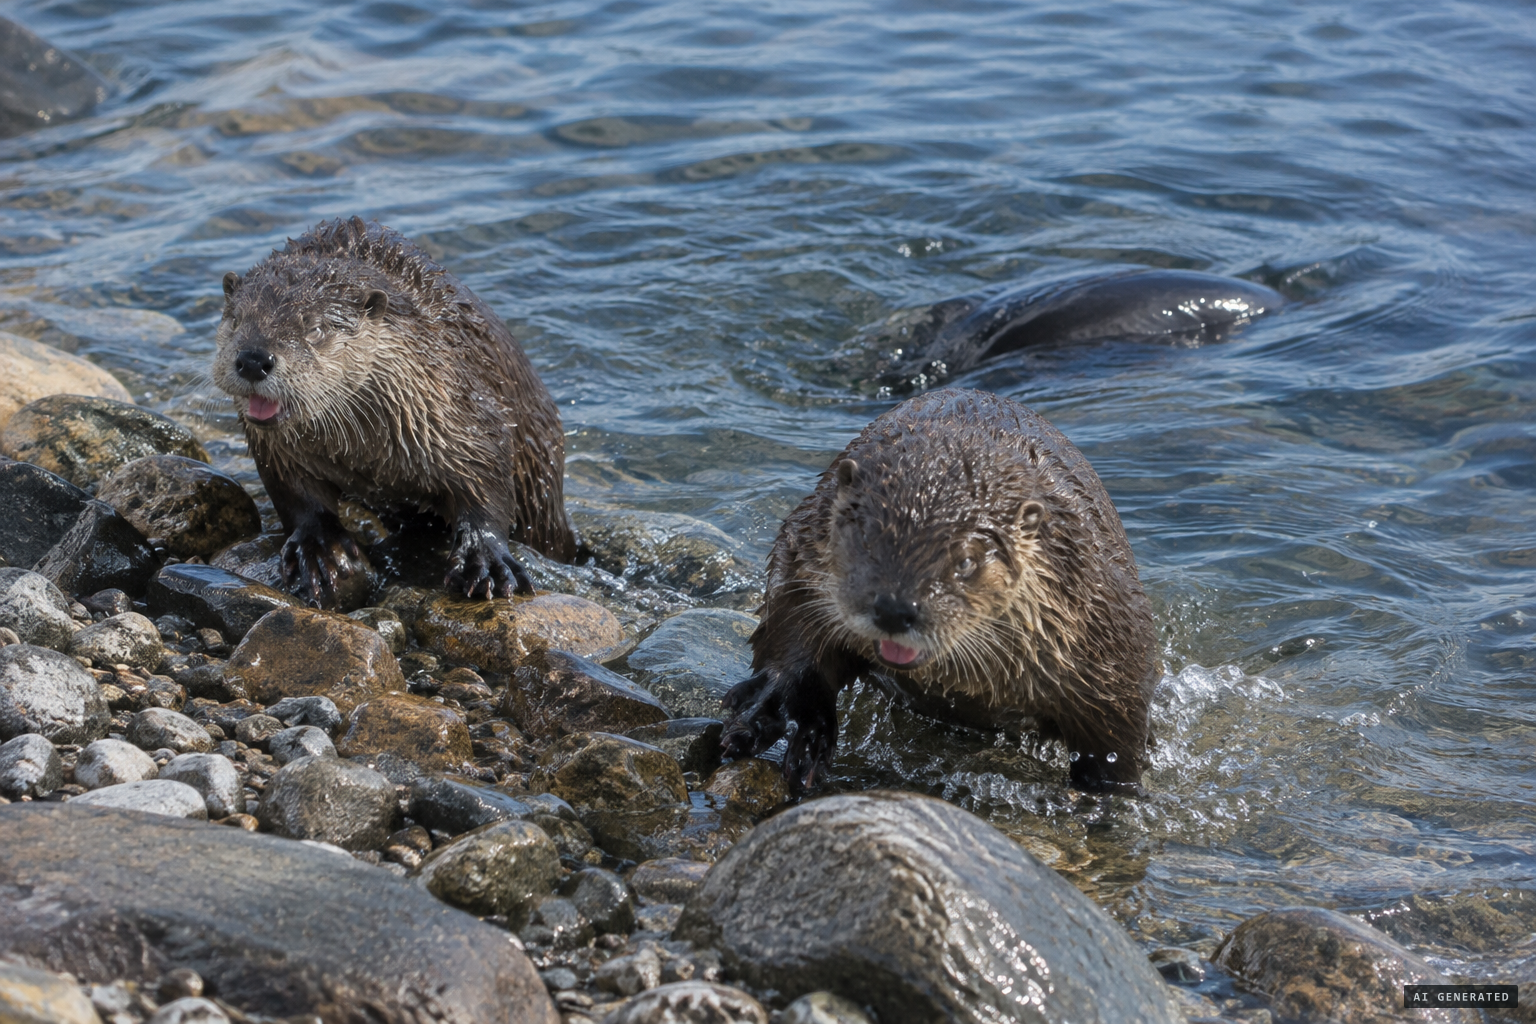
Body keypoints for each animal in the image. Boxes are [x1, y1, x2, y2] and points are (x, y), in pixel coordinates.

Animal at [211, 217, 575, 606]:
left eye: (315, 328)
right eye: (236, 319)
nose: (253, 359)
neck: (368, 453)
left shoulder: (462, 411)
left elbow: (486, 479)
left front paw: (486, 560)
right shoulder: (277, 452)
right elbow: (294, 495)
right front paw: (319, 548)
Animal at [721, 388, 1156, 793]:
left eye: (966, 562)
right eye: (867, 537)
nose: (894, 609)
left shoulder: (1105, 632)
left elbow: (1116, 747)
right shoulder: (803, 549)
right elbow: (791, 632)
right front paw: (781, 722)